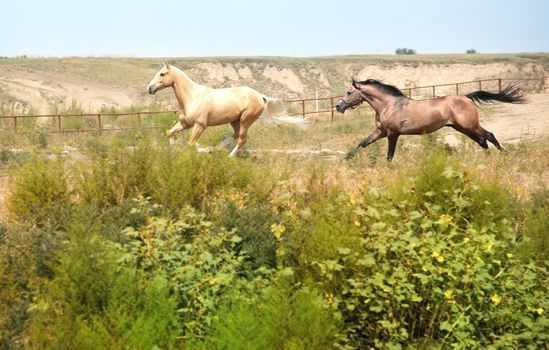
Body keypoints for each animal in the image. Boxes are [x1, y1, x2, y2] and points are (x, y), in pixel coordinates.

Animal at [147, 62, 300, 156]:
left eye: (162, 74)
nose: (149, 88)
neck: (192, 96)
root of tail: (260, 96)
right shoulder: (186, 124)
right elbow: (169, 133)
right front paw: (172, 149)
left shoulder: (200, 125)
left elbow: (191, 144)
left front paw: (200, 149)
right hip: (235, 121)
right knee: (236, 135)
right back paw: (215, 149)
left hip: (245, 121)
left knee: (242, 140)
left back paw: (227, 156)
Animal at [332, 78, 524, 161]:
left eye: (349, 92)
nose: (338, 106)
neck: (389, 105)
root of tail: (466, 97)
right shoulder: (380, 132)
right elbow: (362, 144)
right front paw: (347, 159)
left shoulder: (392, 134)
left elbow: (389, 155)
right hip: (461, 128)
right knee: (482, 141)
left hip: (469, 125)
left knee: (489, 135)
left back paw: (504, 155)